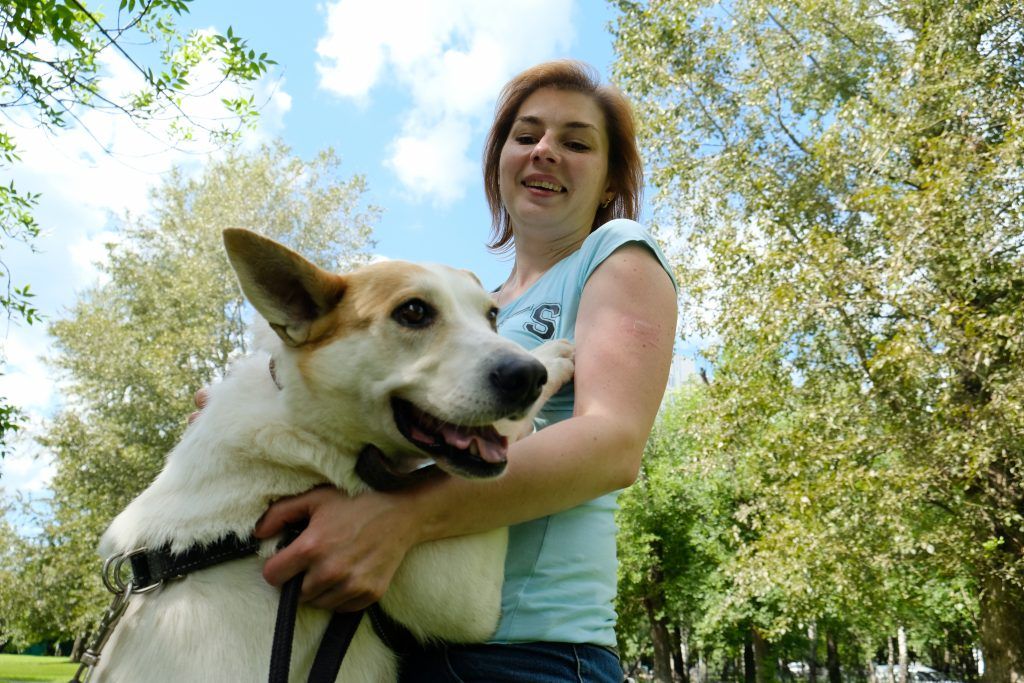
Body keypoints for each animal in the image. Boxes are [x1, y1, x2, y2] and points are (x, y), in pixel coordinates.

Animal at [93, 229, 577, 683]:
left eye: (491, 316)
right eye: (414, 312)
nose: (528, 376)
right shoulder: (466, 597)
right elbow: (511, 434)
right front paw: (552, 357)